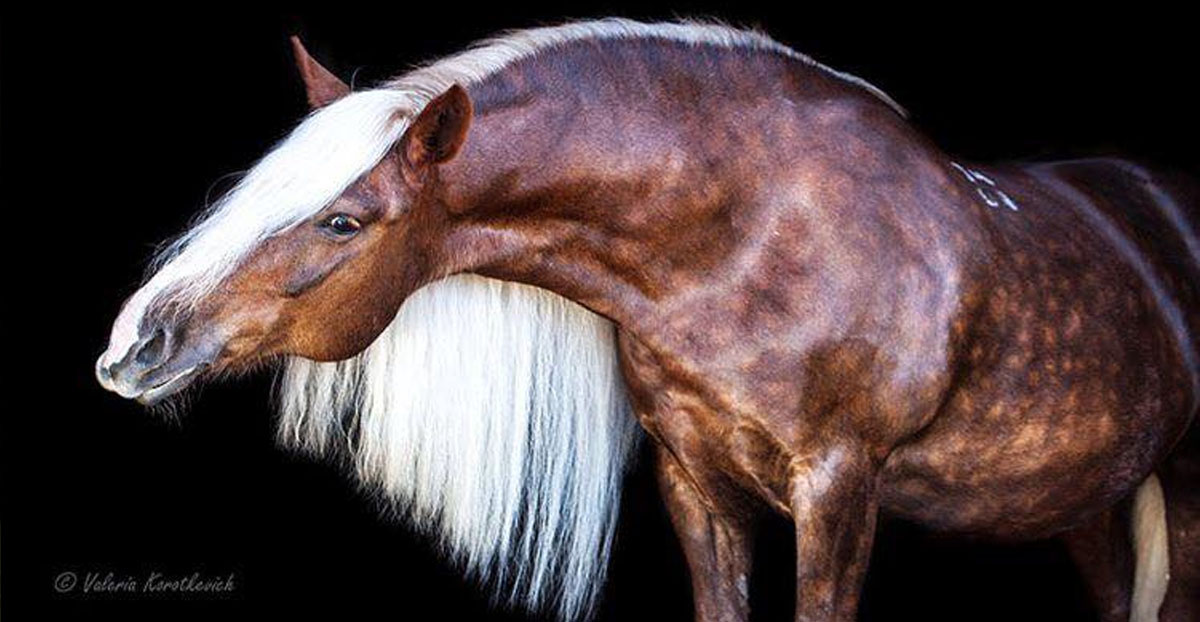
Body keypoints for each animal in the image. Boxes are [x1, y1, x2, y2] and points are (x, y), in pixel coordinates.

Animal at [96, 17, 1200, 619]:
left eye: (342, 219)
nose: (134, 345)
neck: (750, 235)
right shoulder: (692, 482)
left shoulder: (841, 487)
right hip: (1079, 495)